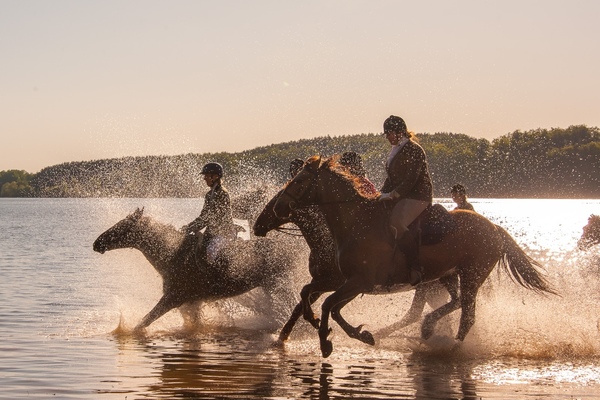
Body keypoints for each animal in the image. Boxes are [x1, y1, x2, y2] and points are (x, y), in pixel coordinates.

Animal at [92, 208, 296, 330]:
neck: (173, 254)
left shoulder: (173, 298)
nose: (97, 243)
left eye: (123, 226)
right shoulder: (190, 302)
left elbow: (145, 321)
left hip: (279, 285)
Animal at [252, 189, 454, 342]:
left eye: (272, 202)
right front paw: (285, 335)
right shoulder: (324, 282)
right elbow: (301, 304)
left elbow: (312, 303)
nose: (256, 226)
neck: (327, 240)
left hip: (430, 288)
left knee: (422, 313)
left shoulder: (338, 283)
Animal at [274, 155, 556, 356]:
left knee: (467, 315)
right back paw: (428, 327)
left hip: (472, 275)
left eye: (299, 181)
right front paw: (356, 333)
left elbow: (328, 305)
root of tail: (494, 228)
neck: (355, 222)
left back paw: (451, 348)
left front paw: (326, 342)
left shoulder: (359, 281)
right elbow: (319, 300)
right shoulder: (350, 282)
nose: (278, 207)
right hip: (448, 275)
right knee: (455, 302)